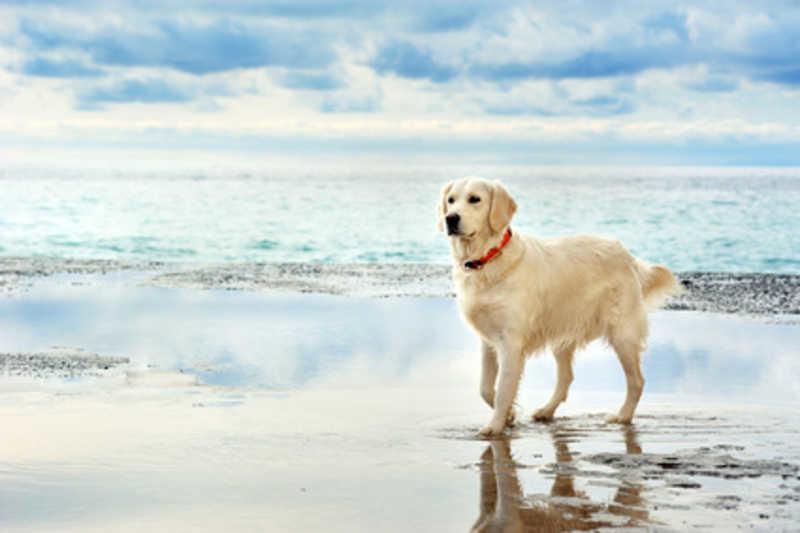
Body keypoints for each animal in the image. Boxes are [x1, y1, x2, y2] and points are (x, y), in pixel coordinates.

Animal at [438, 177, 680, 434]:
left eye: (475, 199)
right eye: (451, 200)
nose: (450, 218)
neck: (488, 259)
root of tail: (627, 255)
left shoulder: (511, 342)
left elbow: (503, 389)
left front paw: (495, 426)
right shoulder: (489, 340)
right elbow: (485, 388)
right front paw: (510, 415)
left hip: (622, 333)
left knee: (636, 381)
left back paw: (622, 416)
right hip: (563, 334)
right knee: (566, 379)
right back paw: (546, 411)